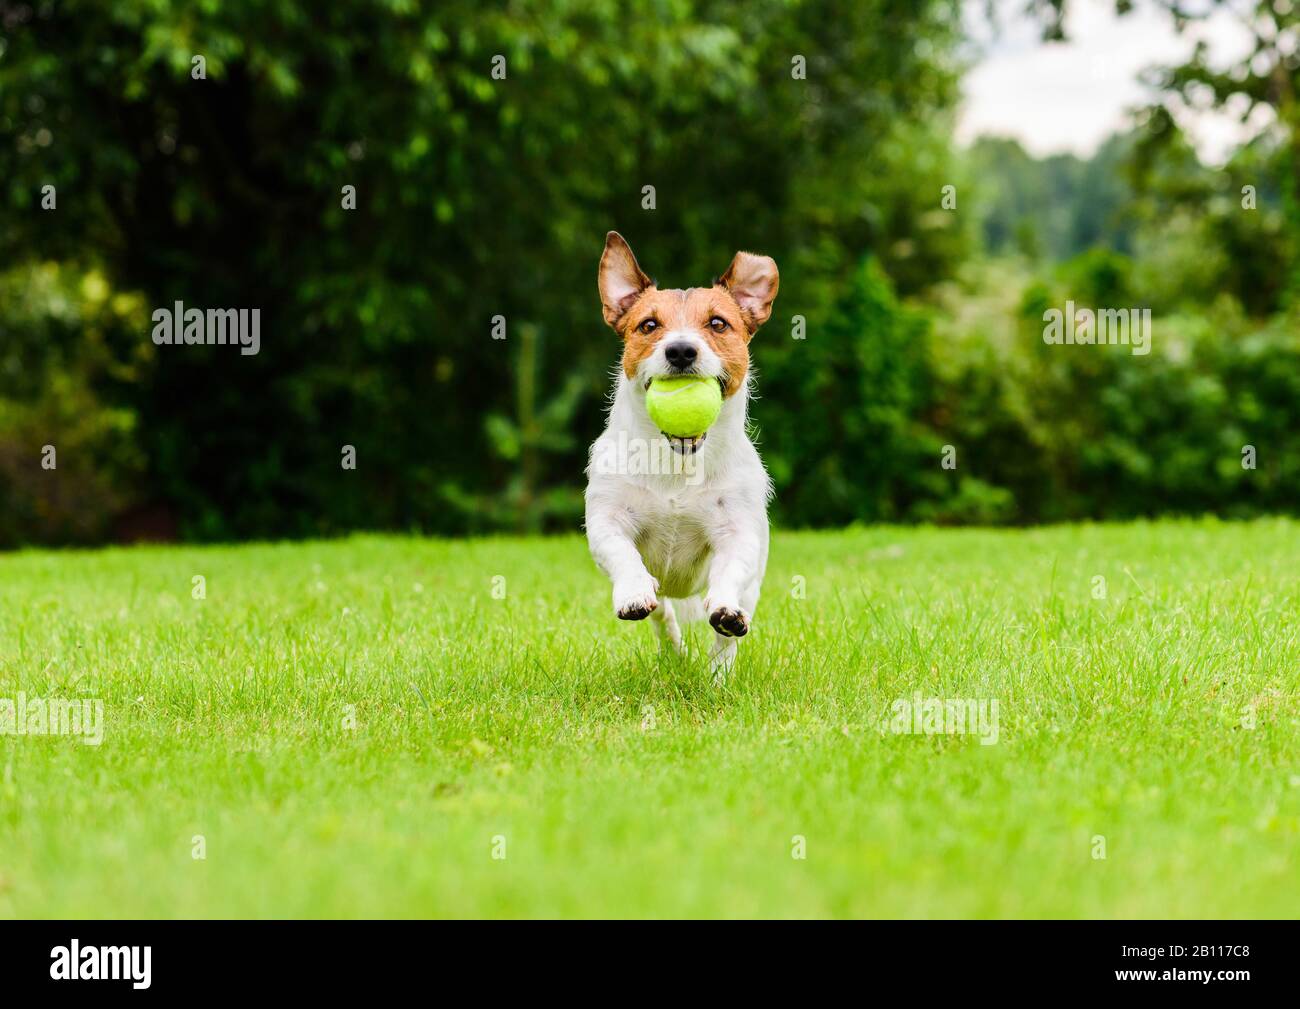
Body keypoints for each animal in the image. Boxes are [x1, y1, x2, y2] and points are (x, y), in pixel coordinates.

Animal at [585, 232, 774, 681]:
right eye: (649, 325)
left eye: (718, 323)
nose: (682, 350)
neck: (678, 461)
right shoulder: (606, 520)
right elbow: (622, 553)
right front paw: (633, 593)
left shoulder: (738, 532)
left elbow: (730, 570)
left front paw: (725, 613)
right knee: (663, 615)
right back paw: (672, 650)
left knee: (726, 638)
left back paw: (718, 676)